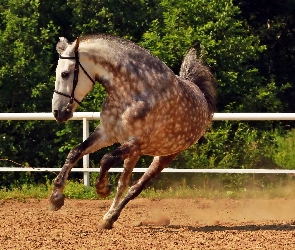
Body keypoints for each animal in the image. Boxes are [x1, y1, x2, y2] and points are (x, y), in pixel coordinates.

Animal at [50, 34, 217, 229]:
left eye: (65, 74)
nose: (58, 113)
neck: (132, 93)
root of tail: (201, 96)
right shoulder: (107, 134)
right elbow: (75, 152)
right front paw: (56, 198)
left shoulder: (136, 142)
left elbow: (106, 159)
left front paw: (102, 188)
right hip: (135, 153)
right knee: (124, 184)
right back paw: (107, 218)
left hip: (163, 156)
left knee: (135, 187)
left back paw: (110, 217)